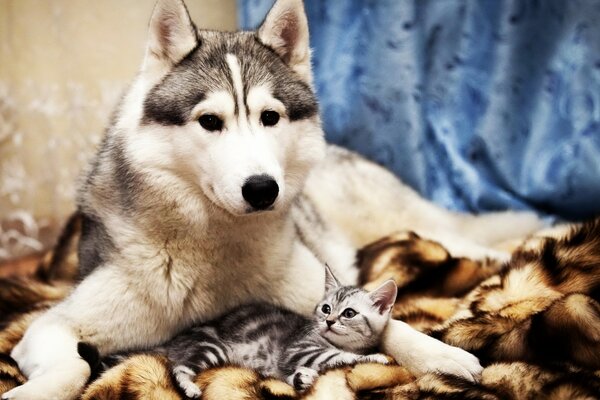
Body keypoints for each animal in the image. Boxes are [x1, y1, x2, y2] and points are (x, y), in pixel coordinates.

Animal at [109, 266, 398, 396]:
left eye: (348, 313)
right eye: (326, 308)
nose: (328, 321)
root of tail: (176, 339)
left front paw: (303, 379)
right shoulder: (298, 349)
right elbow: (339, 357)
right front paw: (375, 357)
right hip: (211, 346)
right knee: (179, 368)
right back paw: (189, 387)